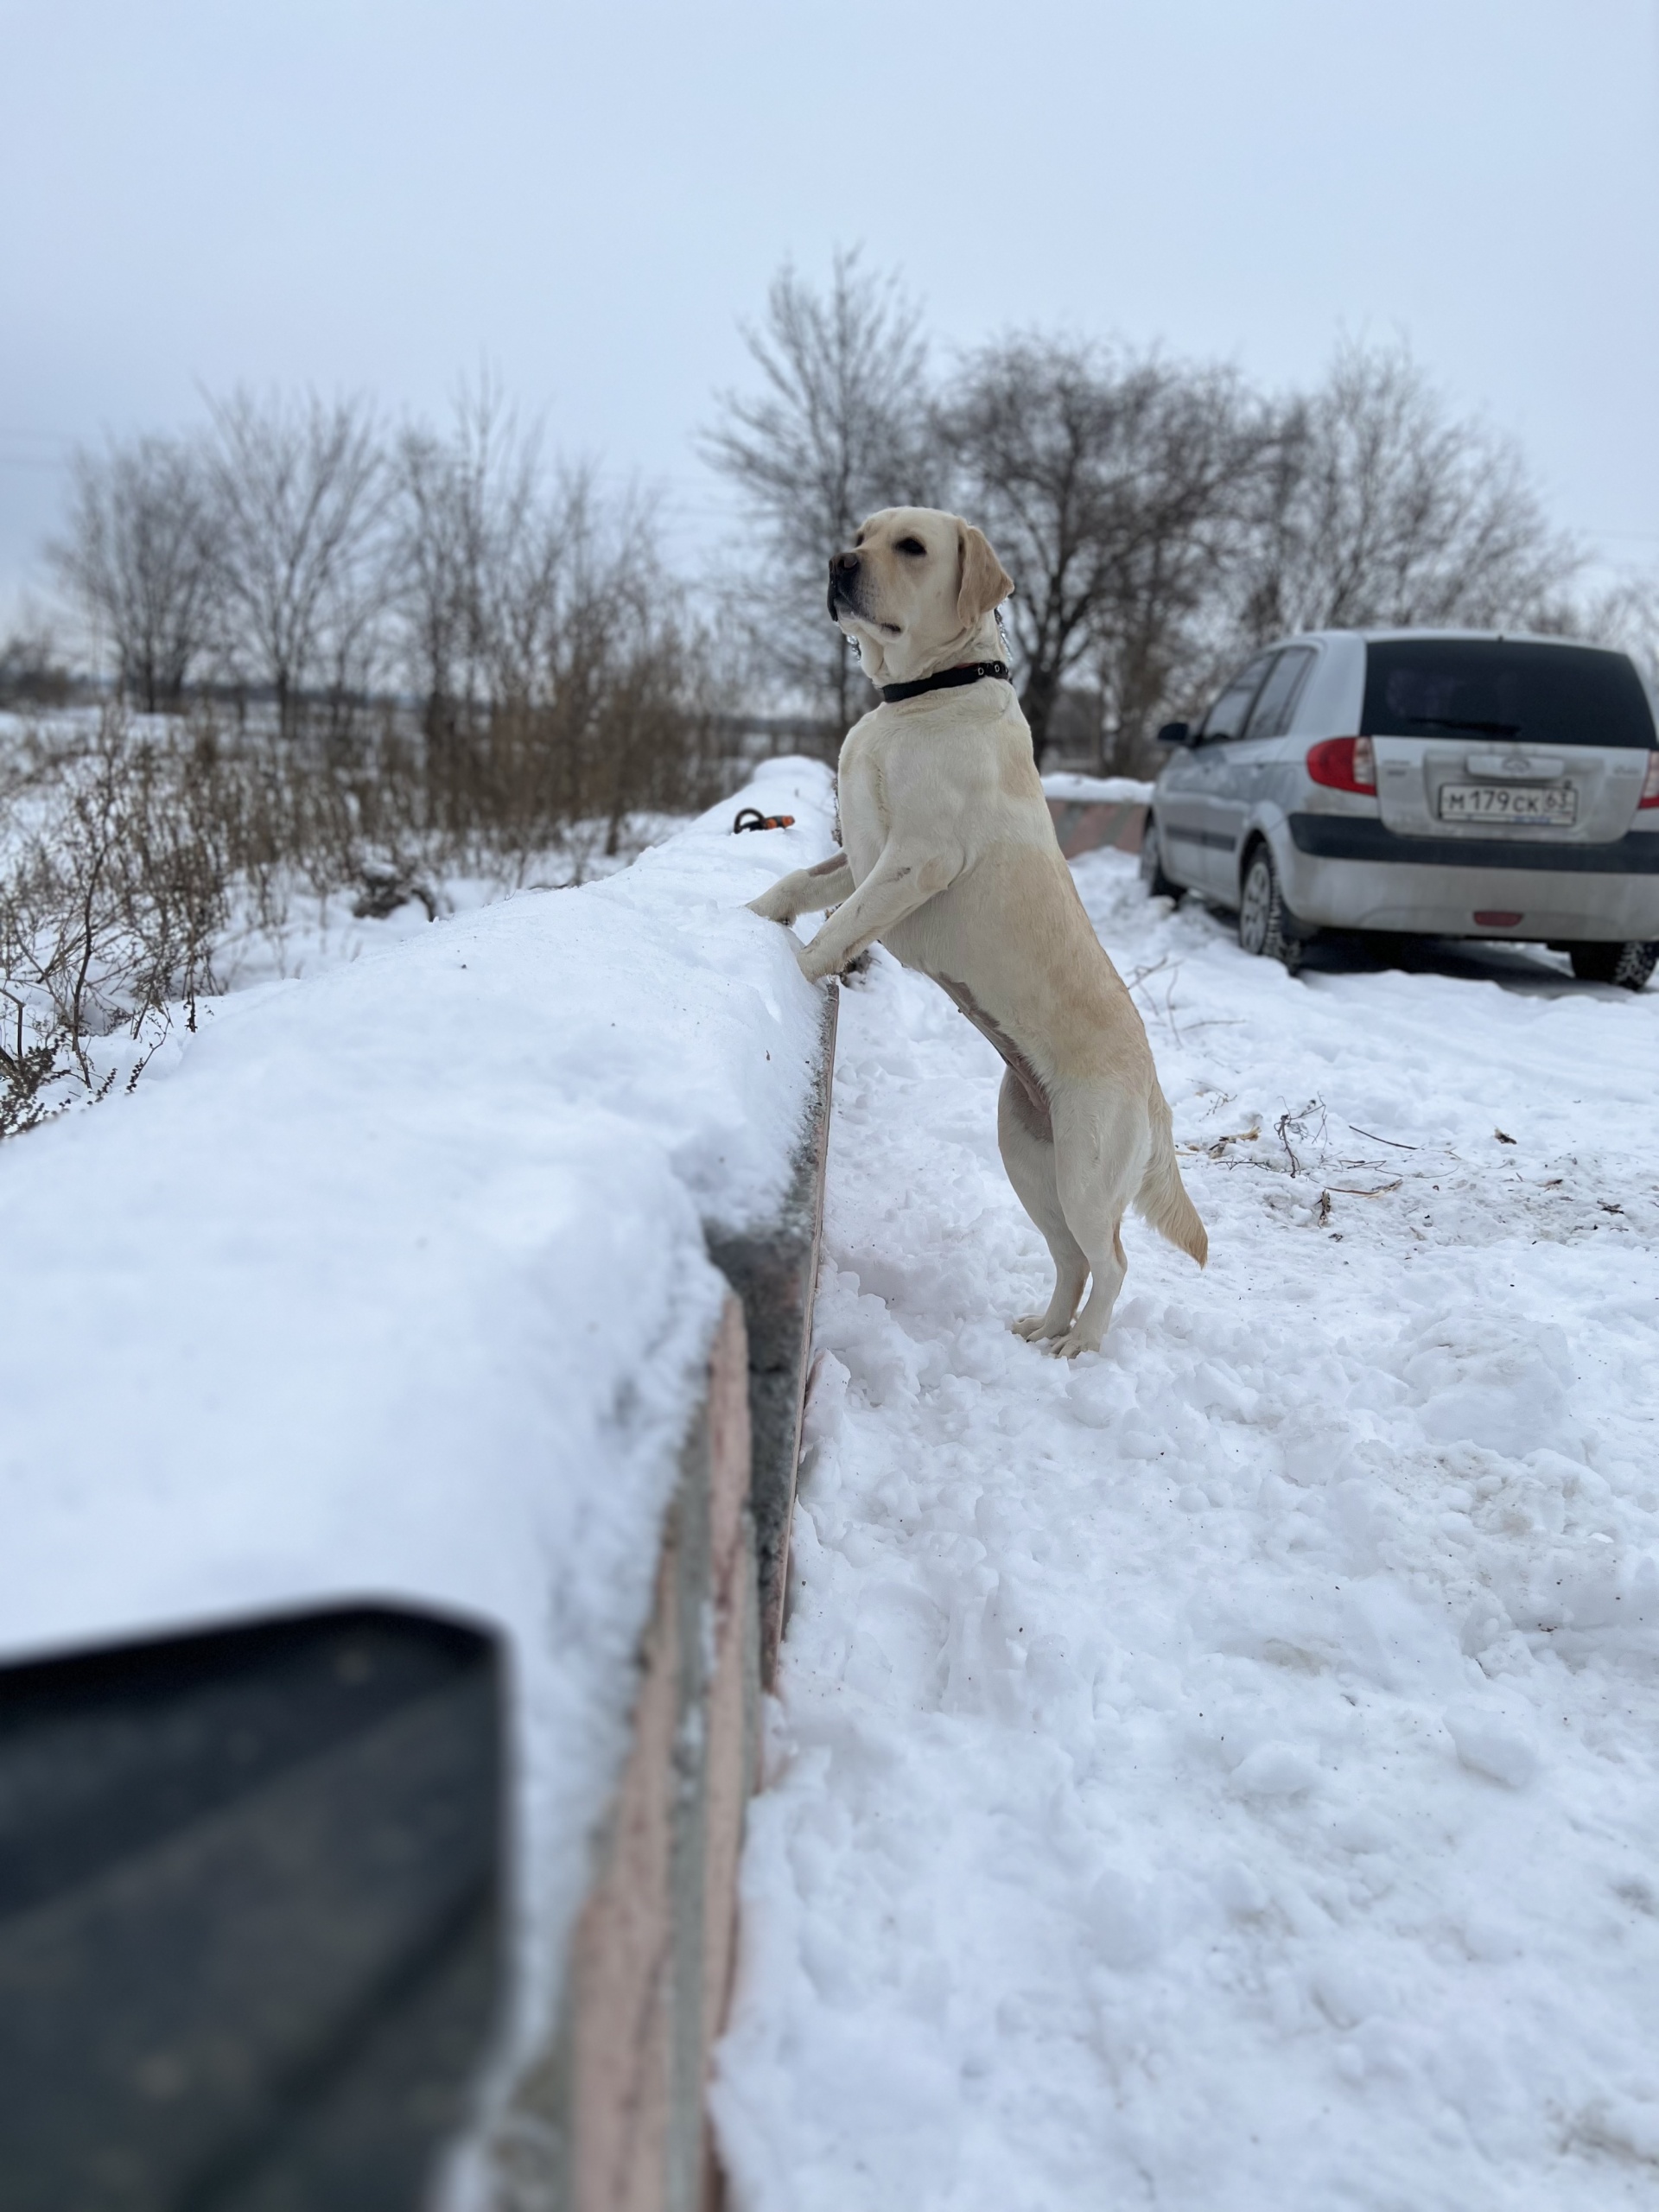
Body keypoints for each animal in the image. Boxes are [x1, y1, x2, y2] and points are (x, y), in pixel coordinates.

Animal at [752, 506, 1211, 1353]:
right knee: (1070, 1259)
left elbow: (841, 929)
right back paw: (1043, 1327)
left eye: (911, 547)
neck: (921, 695)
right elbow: (802, 885)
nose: (837, 564)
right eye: (860, 535)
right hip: (1027, 1154)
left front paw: (791, 972)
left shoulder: (917, 857)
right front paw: (747, 921)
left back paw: (1080, 1346)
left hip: (1087, 1173)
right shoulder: (864, 855)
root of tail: (1156, 1092)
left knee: (1114, 1262)